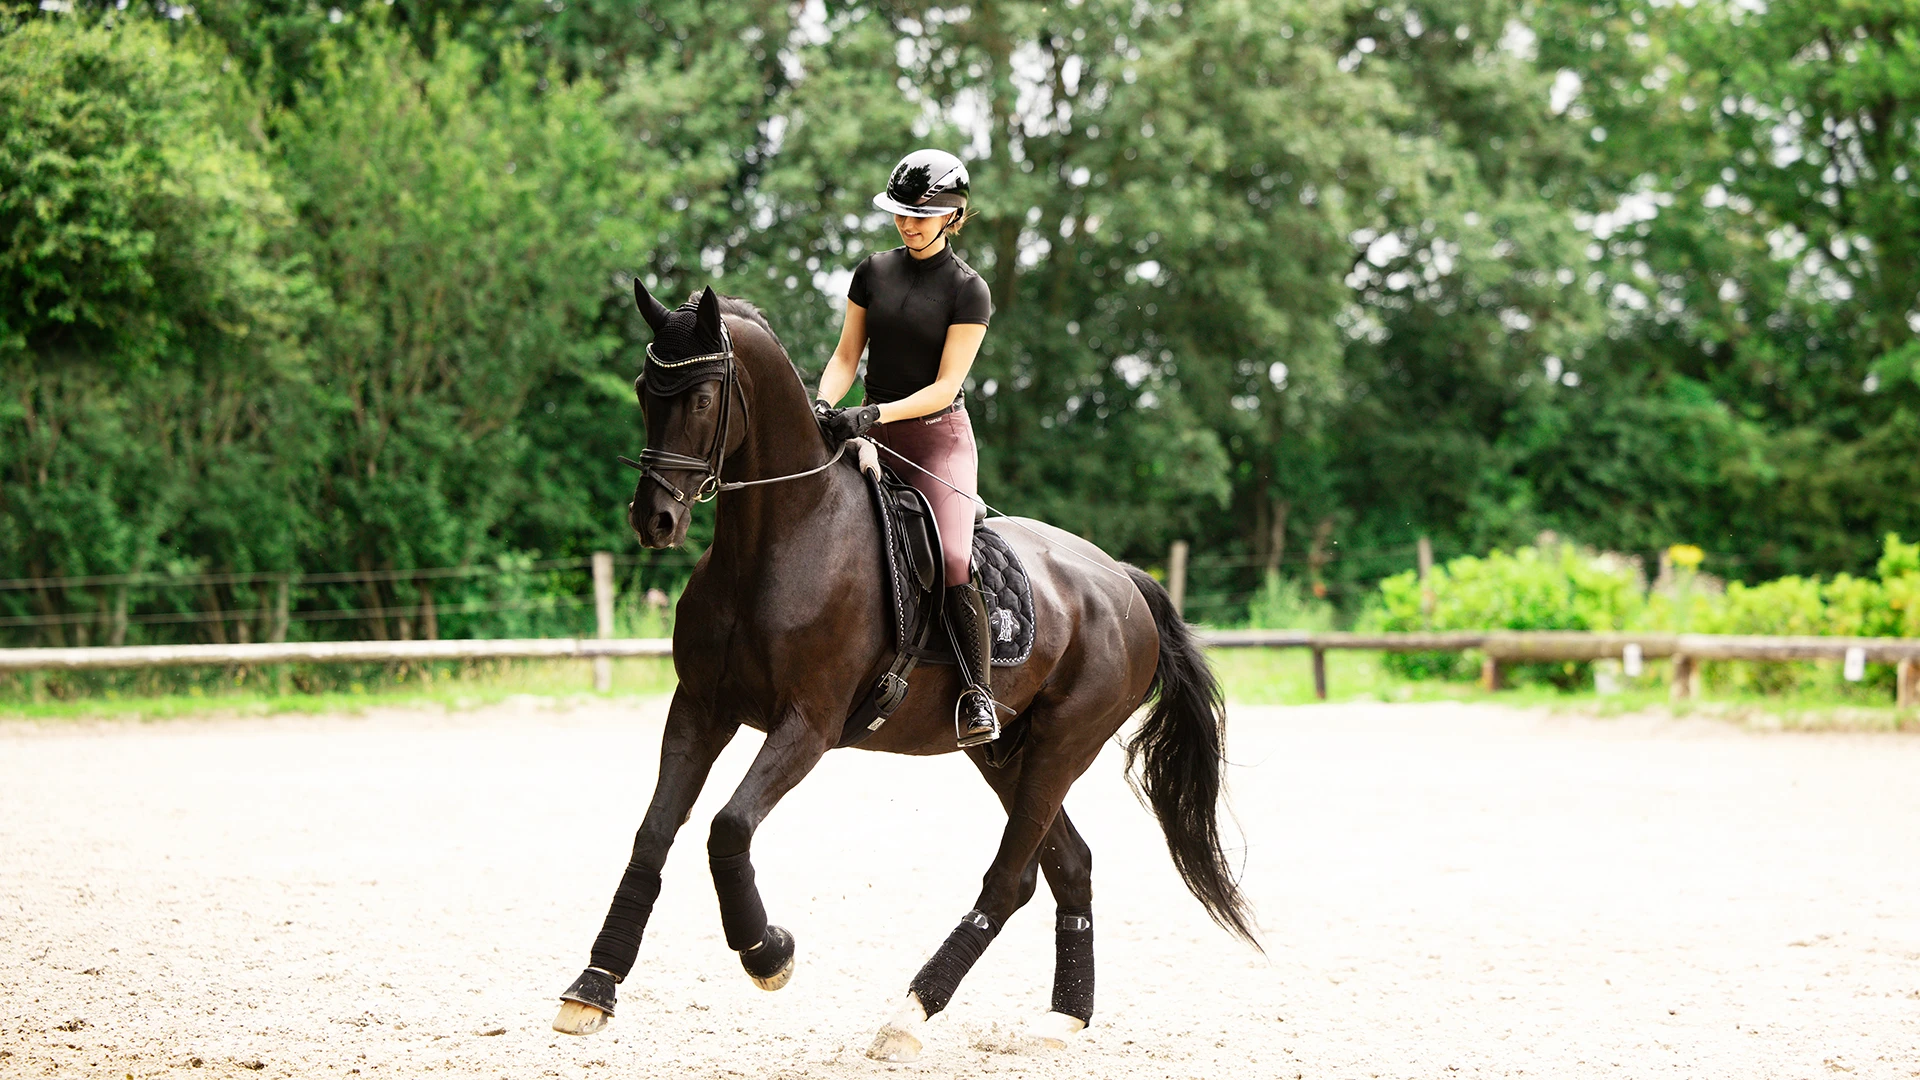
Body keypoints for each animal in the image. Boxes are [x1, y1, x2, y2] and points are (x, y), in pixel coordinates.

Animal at [549, 278, 1251, 1060]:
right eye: (646, 390)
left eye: (701, 399)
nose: (655, 521)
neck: (780, 537)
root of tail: (1123, 579)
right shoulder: (701, 707)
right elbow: (653, 832)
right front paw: (593, 986)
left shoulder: (808, 725)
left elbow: (727, 826)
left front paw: (768, 953)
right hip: (1007, 752)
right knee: (1067, 866)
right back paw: (1064, 1016)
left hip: (1064, 744)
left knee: (1008, 881)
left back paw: (910, 1012)